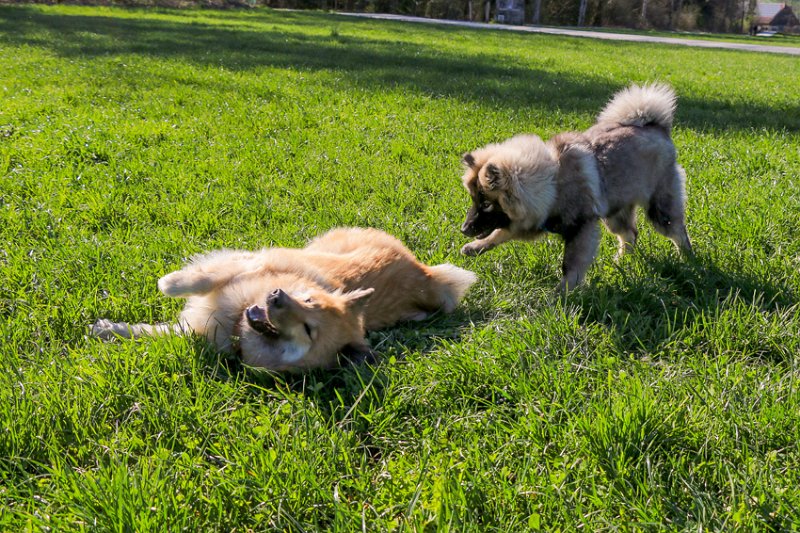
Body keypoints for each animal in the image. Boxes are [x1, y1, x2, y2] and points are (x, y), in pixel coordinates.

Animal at [92, 228, 476, 370]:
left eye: (309, 330)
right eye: (306, 299)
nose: (275, 297)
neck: (237, 324)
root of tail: (425, 274)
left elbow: (159, 331)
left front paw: (112, 329)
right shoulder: (249, 264)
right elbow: (202, 277)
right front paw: (168, 283)